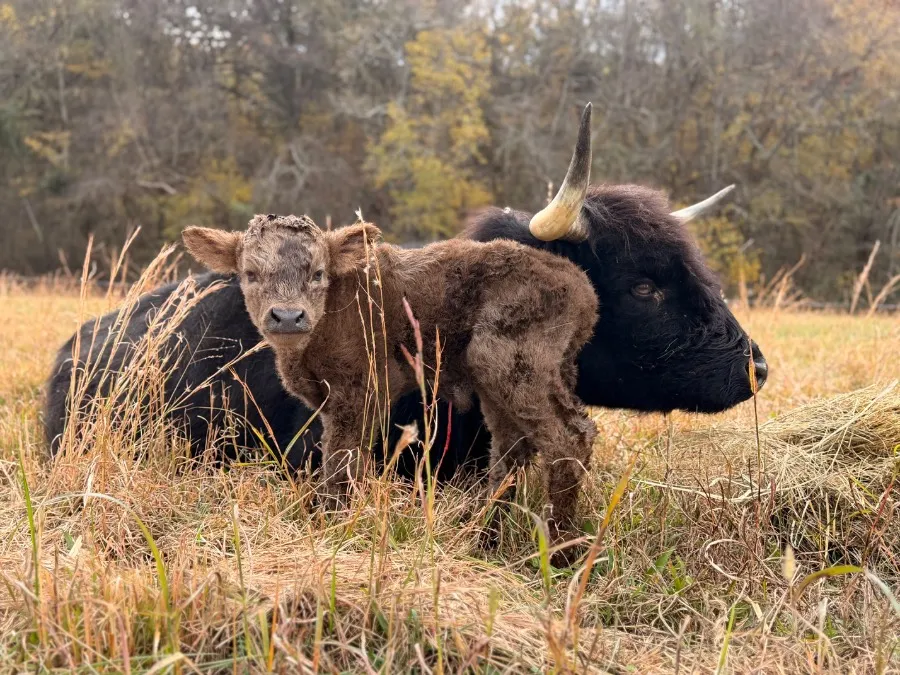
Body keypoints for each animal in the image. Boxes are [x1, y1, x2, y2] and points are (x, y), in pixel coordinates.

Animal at [182, 213, 599, 565]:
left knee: (566, 440)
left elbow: (342, 461)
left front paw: (334, 526)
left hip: (513, 366)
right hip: (502, 383)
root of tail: (582, 288)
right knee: (511, 451)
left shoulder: (359, 393)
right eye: (250, 273)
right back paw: (482, 536)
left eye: (318, 273)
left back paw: (559, 553)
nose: (287, 316)